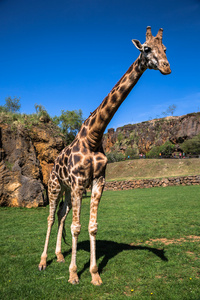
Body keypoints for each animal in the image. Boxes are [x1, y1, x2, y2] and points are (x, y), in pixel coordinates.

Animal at [38, 27, 171, 286]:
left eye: (165, 48)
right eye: (146, 48)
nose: (166, 67)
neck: (94, 134)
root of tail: (54, 163)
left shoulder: (98, 180)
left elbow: (92, 226)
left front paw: (94, 274)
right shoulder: (79, 182)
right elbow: (77, 227)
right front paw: (73, 274)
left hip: (67, 190)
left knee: (61, 215)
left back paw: (59, 255)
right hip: (56, 185)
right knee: (50, 217)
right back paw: (43, 261)